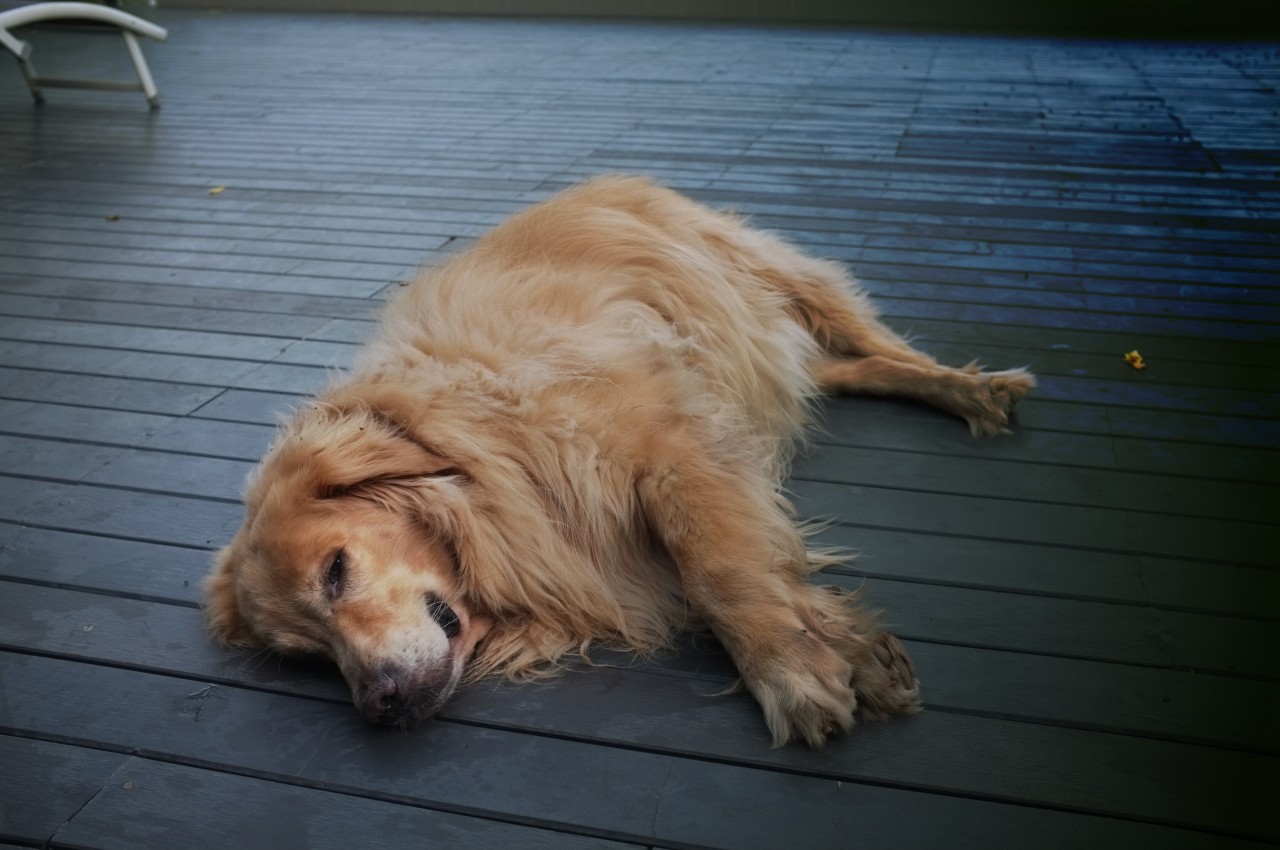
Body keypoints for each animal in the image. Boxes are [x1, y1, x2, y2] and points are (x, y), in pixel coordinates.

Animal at [204, 175, 1034, 747]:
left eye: (336, 571)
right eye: (308, 656)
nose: (378, 706)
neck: (484, 442)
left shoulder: (672, 446)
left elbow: (719, 571)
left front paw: (787, 669)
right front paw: (846, 649)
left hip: (774, 276)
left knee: (881, 345)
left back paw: (971, 388)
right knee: (844, 370)